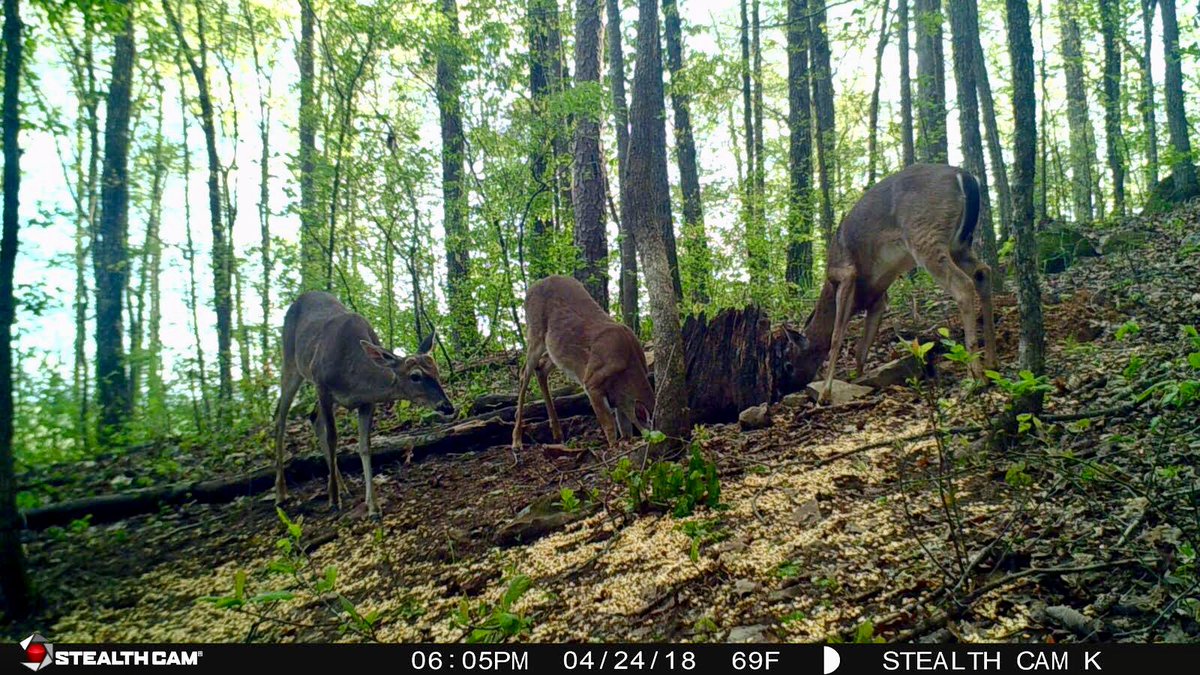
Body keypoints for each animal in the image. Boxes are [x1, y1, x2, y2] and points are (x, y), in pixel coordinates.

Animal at [273, 291, 455, 517]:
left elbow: (365, 446)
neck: (353, 376)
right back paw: (282, 494)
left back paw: (342, 487)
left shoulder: (367, 402)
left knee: (313, 417)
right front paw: (334, 500)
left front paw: (373, 506)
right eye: (415, 376)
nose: (448, 406)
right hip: (291, 363)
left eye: (437, 371)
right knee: (280, 419)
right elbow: (333, 438)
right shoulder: (321, 383)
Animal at [511, 275, 655, 453]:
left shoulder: (620, 398)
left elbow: (625, 427)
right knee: (524, 373)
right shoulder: (592, 382)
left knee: (542, 367)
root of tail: (532, 287)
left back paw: (557, 432)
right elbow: (609, 424)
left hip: (557, 349)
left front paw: (626, 442)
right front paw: (613, 447)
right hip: (535, 333)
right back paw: (517, 440)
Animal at [797, 163, 999, 403]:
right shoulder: (879, 297)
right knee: (983, 272)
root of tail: (965, 175)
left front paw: (825, 393)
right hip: (959, 245)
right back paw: (991, 363)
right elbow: (862, 348)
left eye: (789, 358)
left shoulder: (846, 274)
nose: (789, 386)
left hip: (925, 233)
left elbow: (837, 335)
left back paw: (976, 376)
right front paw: (858, 377)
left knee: (963, 285)